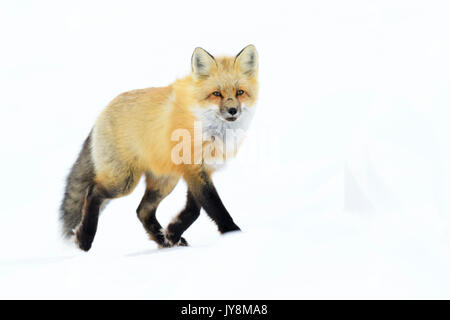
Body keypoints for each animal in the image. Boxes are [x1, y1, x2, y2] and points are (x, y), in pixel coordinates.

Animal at [60, 45, 260, 251]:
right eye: (216, 94)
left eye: (240, 92)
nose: (232, 111)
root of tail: (101, 113)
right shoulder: (194, 169)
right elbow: (214, 206)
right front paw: (233, 234)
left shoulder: (200, 169)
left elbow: (194, 209)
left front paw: (172, 232)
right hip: (123, 182)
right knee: (92, 192)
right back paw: (84, 238)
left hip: (164, 181)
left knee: (142, 211)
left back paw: (163, 241)